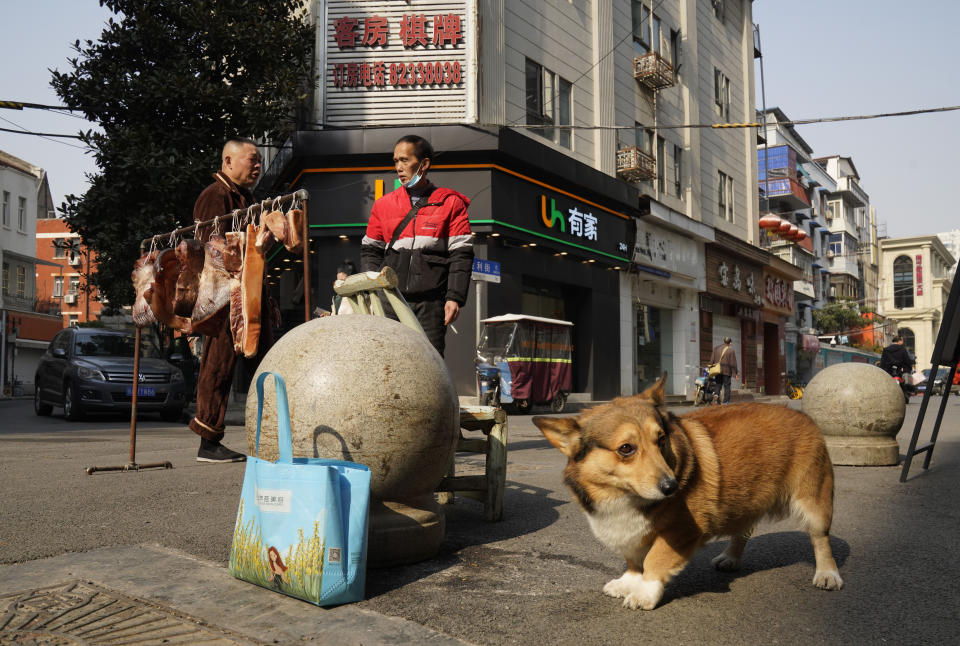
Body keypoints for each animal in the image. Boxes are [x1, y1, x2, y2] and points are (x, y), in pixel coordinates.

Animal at [536, 378, 844, 612]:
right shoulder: (629, 534)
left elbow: (654, 560)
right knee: (743, 530)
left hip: (814, 502)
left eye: (661, 439)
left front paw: (644, 593)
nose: (672, 487)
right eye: (626, 448)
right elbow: (634, 561)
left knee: (820, 539)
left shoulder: (681, 531)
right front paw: (628, 581)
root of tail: (801, 413)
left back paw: (827, 574)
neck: (621, 496)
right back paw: (731, 558)